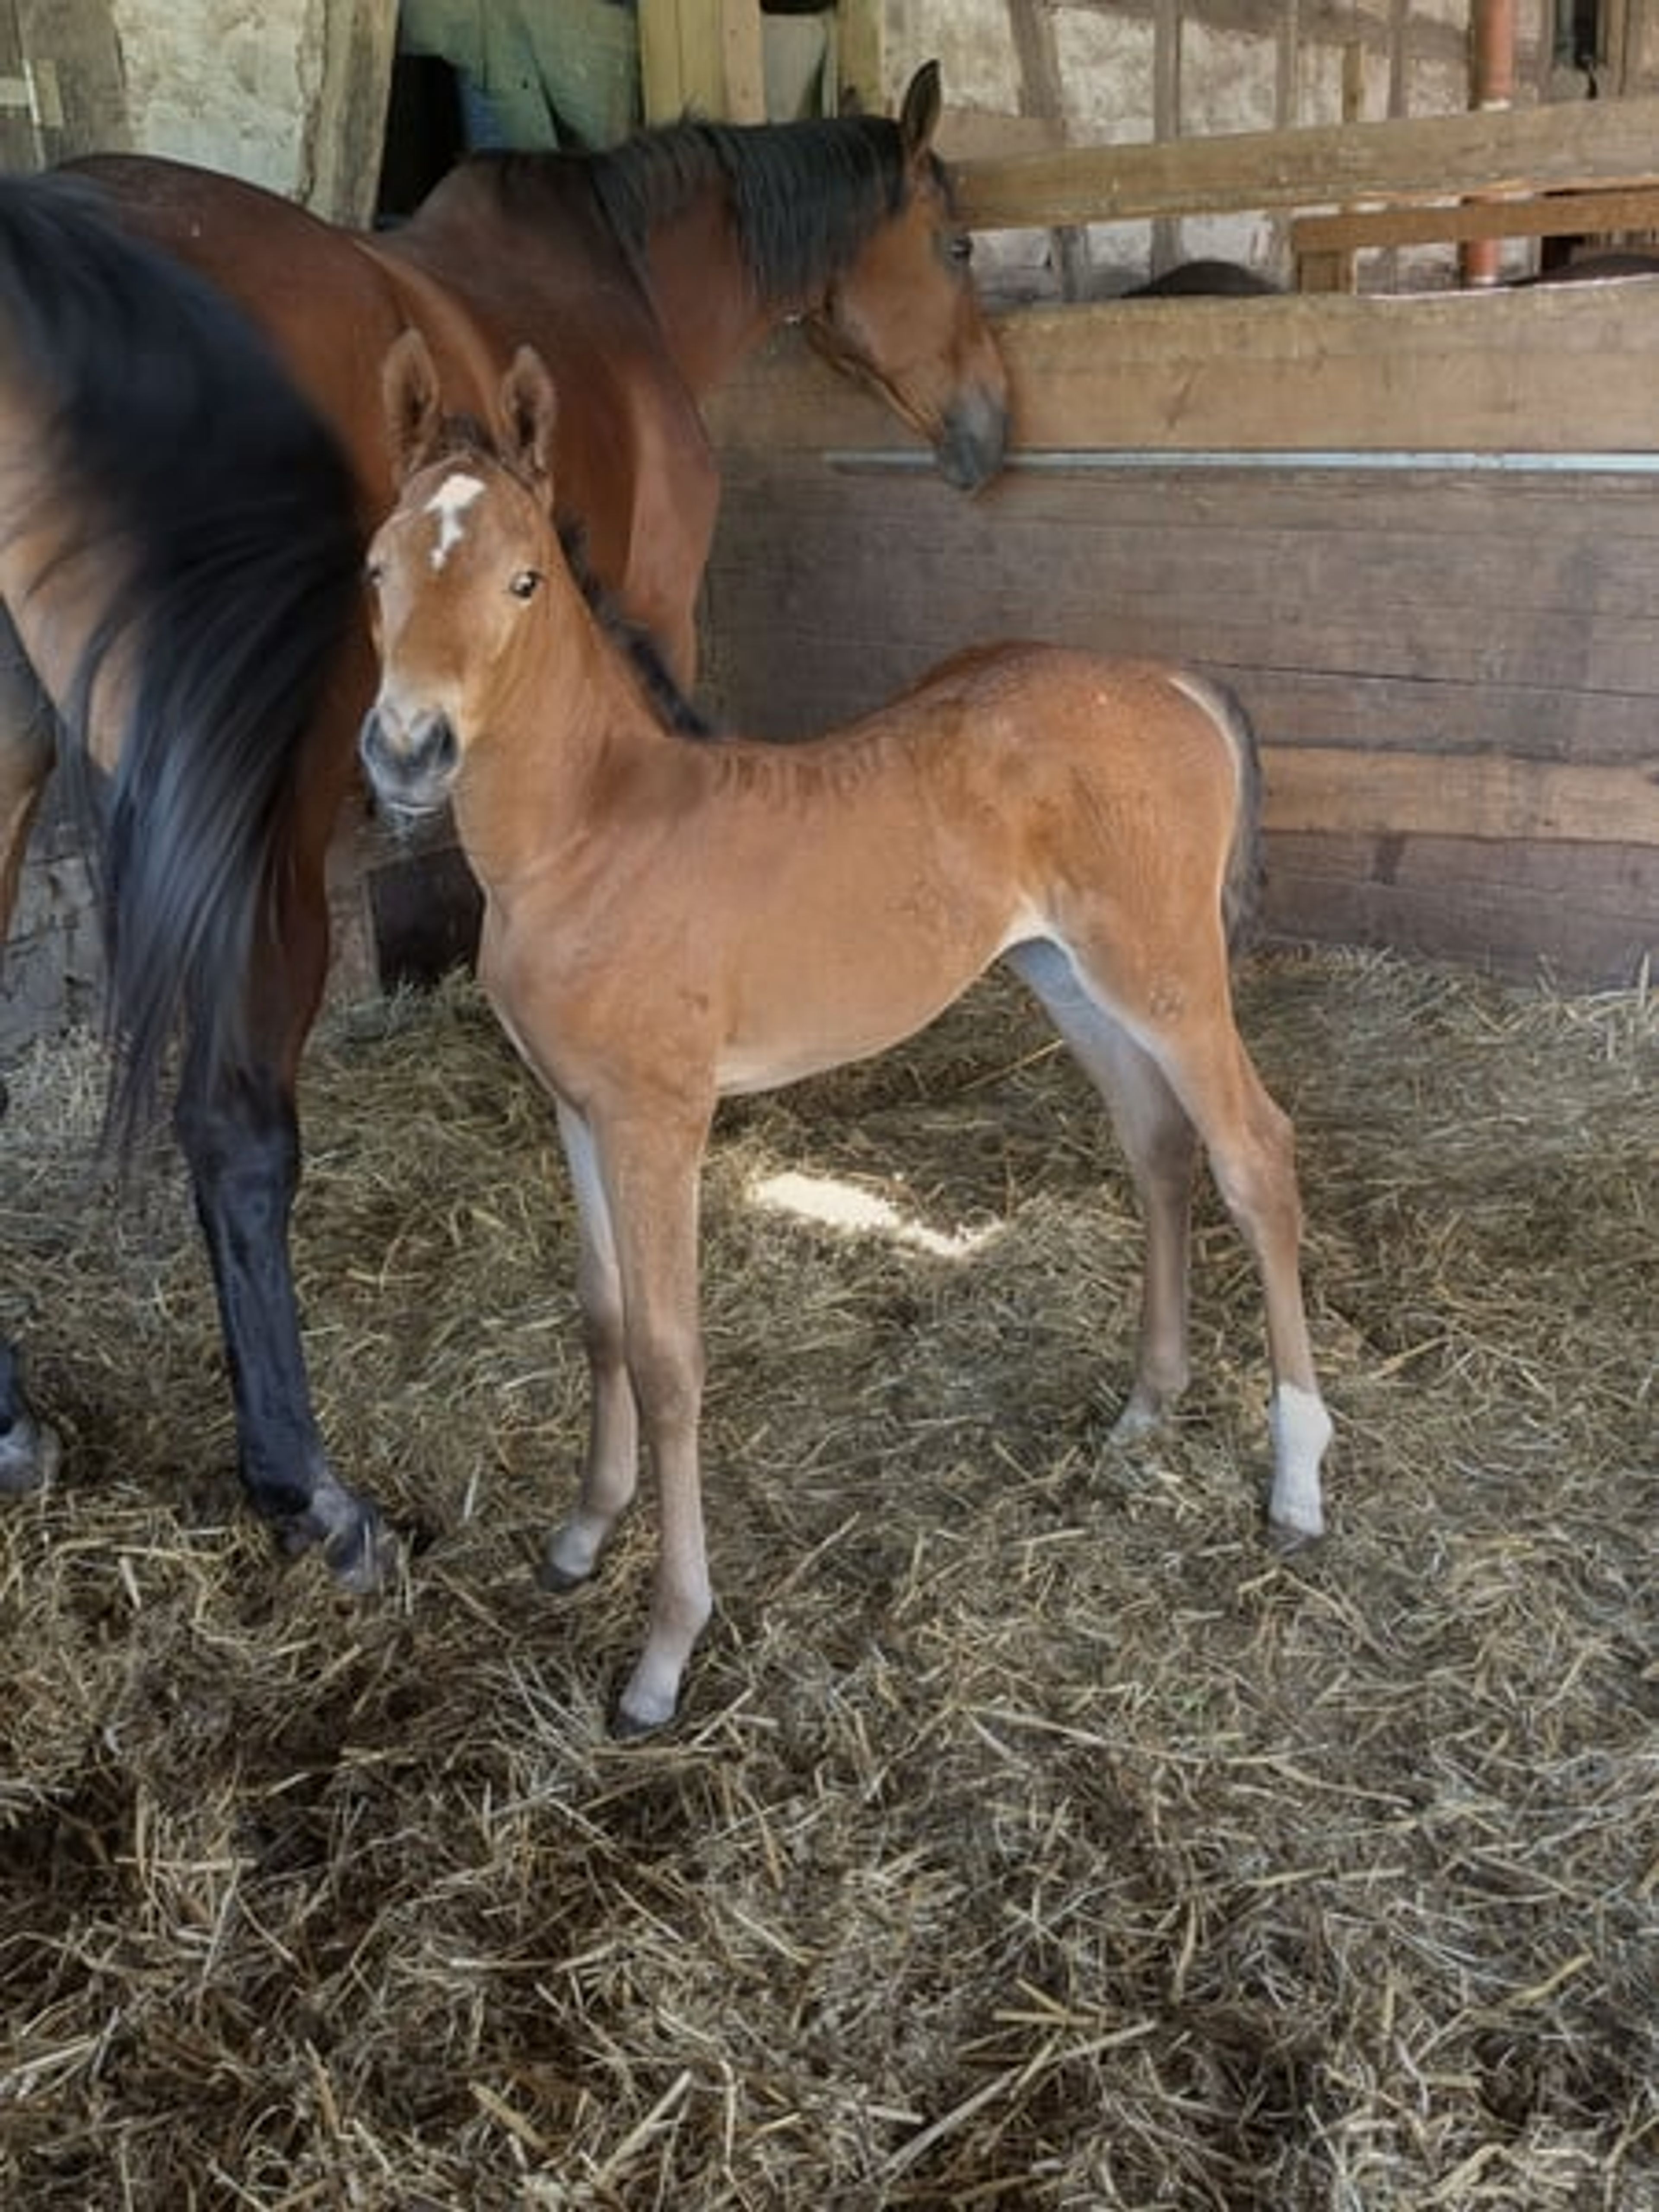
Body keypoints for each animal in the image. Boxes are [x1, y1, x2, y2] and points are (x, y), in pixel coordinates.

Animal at [0, 63, 1009, 1581]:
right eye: (953, 244)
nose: (991, 432)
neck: (618, 275)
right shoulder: (649, 606)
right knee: (235, 1127)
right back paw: (311, 1489)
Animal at [358, 329, 1333, 1734]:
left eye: (523, 580)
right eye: (377, 569)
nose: (406, 749)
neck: (588, 834)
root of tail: (1165, 680)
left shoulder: (661, 1120)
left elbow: (667, 1355)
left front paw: (664, 1648)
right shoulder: (573, 1105)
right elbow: (598, 1316)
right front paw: (580, 1535)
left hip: (1165, 970)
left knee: (1254, 1153)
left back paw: (1297, 1477)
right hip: (1065, 973)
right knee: (1156, 1147)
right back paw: (1146, 1408)